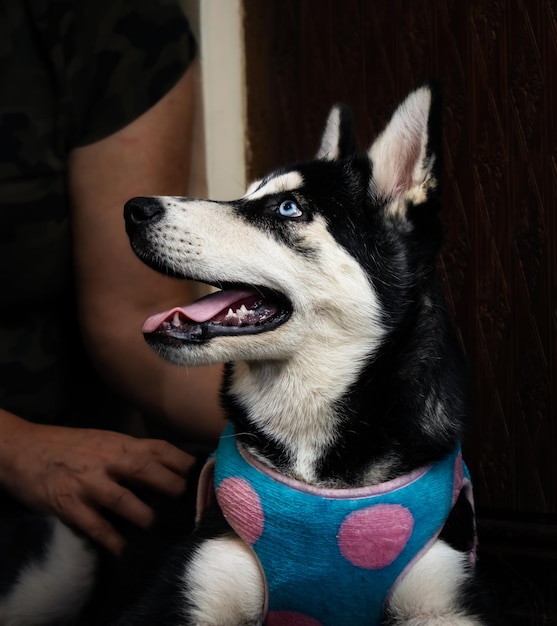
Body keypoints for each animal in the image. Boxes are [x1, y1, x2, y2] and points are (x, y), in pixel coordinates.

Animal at [115, 83, 488, 624]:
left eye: (288, 208)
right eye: (246, 195)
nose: (133, 209)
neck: (314, 469)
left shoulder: (444, 598)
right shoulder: (190, 586)